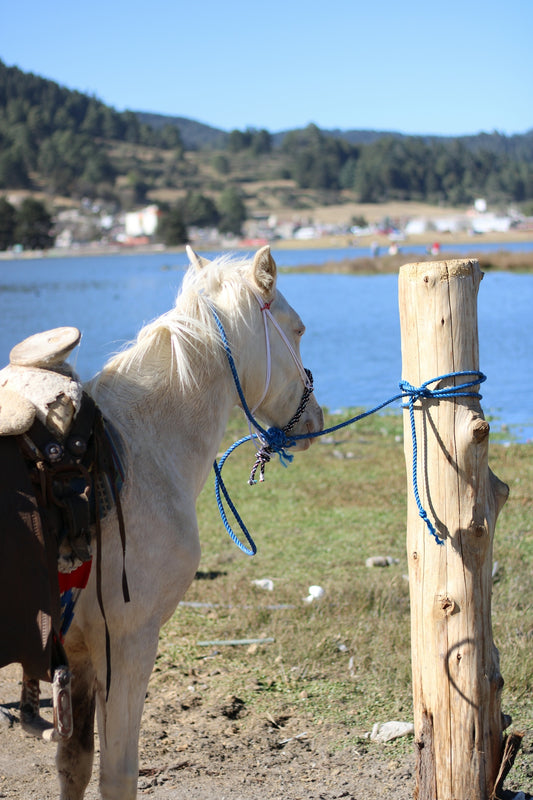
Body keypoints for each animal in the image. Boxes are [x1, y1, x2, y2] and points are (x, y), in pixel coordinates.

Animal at [50, 245, 323, 799]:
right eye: (299, 328)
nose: (316, 419)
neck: (136, 455)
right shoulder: (127, 643)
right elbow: (118, 773)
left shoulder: (79, 654)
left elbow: (75, 765)